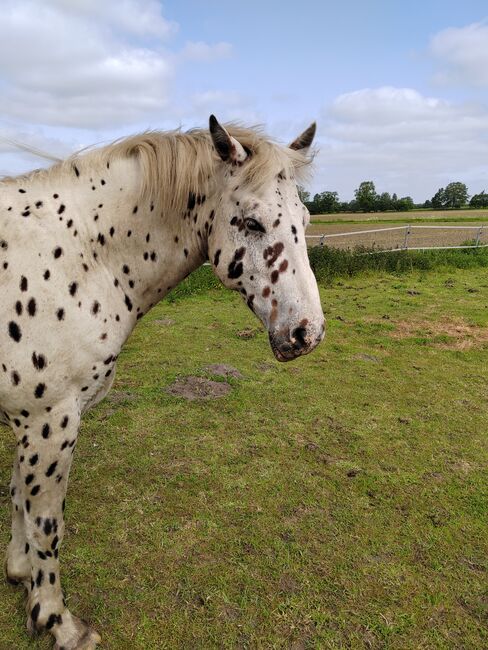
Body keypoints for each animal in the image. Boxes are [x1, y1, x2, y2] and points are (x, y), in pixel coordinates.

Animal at [0, 117, 324, 648]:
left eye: (306, 219)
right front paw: (57, 622)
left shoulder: (28, 420)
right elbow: (47, 522)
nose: (307, 333)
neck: (81, 257)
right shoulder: (49, 419)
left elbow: (18, 500)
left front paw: (20, 573)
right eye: (252, 223)